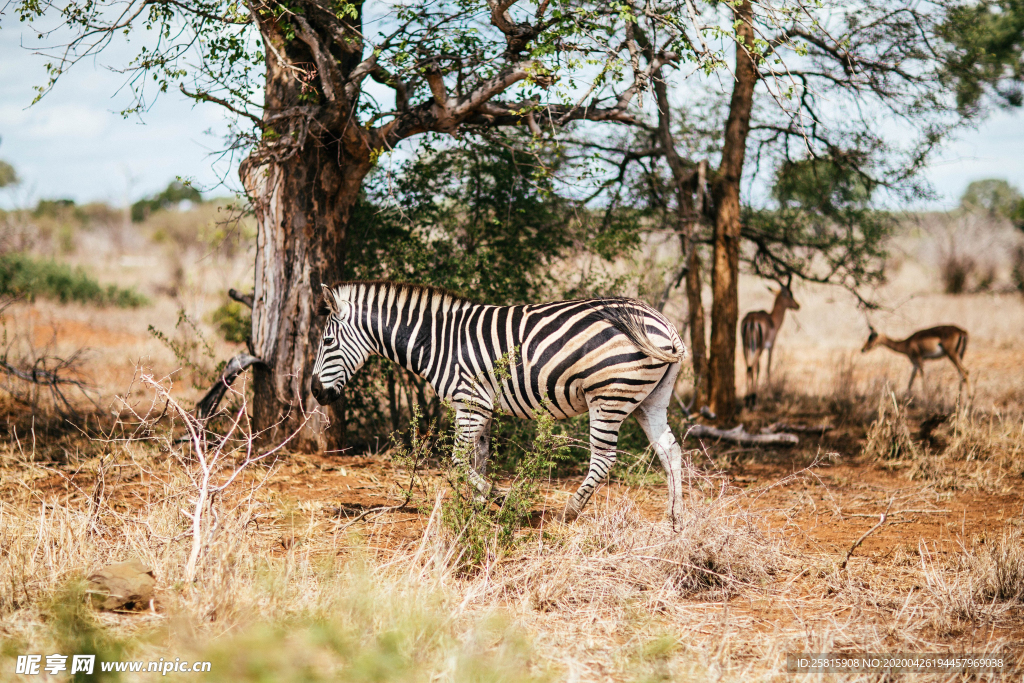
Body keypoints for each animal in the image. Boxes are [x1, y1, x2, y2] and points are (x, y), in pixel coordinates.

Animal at [309, 280, 688, 528]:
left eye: (327, 342)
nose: (315, 392)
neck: (436, 341)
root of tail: (663, 322)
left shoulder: (470, 402)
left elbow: (458, 461)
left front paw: (500, 498)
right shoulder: (481, 408)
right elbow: (478, 459)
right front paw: (477, 509)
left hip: (608, 394)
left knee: (605, 457)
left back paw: (569, 511)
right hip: (649, 400)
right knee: (669, 449)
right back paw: (676, 517)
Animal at [745, 276, 798, 409]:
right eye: (790, 294)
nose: (797, 305)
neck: (772, 319)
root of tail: (752, 320)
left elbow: (758, 369)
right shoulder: (770, 346)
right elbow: (767, 367)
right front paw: (769, 396)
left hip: (746, 347)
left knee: (748, 367)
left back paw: (747, 399)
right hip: (758, 348)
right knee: (752, 367)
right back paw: (752, 399)